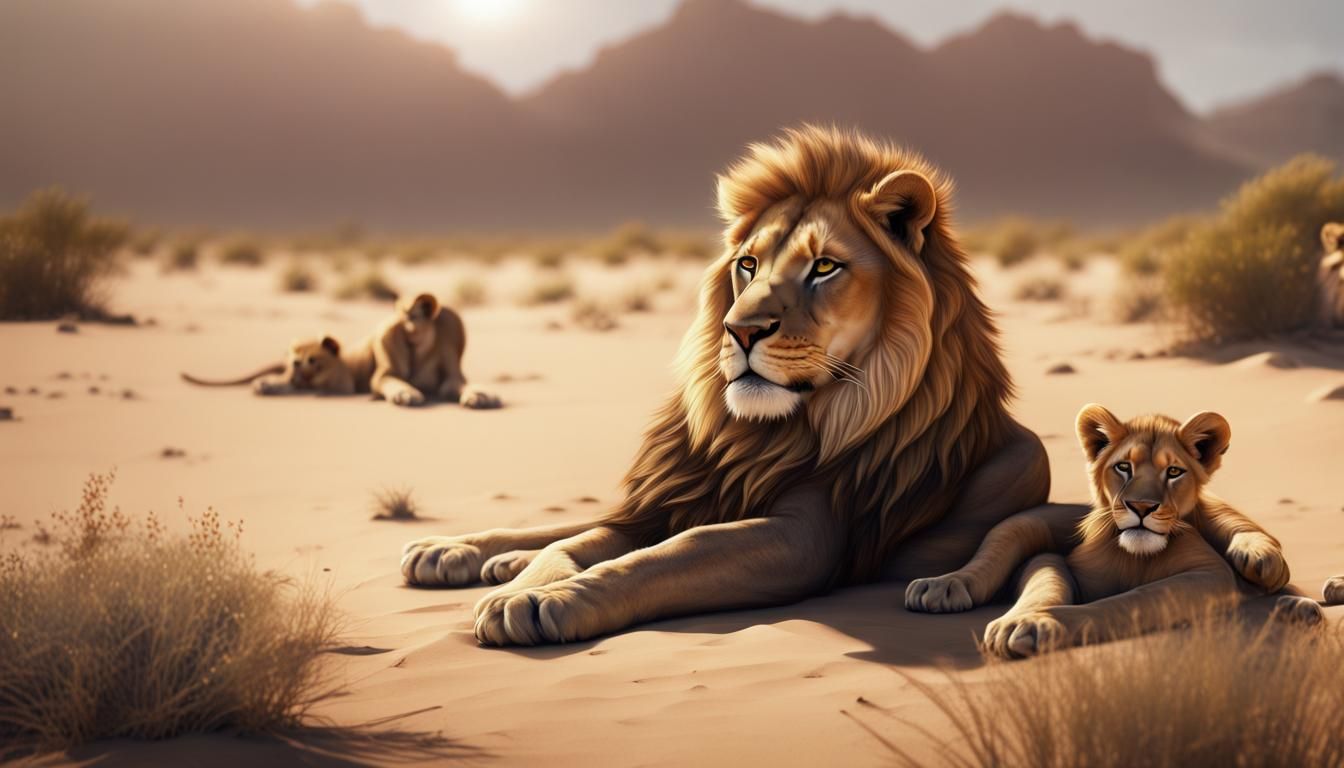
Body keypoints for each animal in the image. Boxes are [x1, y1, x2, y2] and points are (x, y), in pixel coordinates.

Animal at [181, 293, 500, 408]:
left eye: (408, 312)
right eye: (397, 311)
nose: (386, 327)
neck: (421, 345)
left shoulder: (452, 372)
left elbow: (462, 385)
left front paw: (482, 395)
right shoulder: (381, 371)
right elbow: (391, 380)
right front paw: (406, 394)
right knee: (291, 383)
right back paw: (267, 384)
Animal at [400, 125, 1054, 646]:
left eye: (824, 267)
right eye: (748, 264)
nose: (739, 330)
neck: (754, 434)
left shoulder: (805, 538)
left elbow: (663, 557)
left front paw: (540, 600)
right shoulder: (669, 500)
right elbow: (573, 541)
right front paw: (513, 581)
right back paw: (462, 554)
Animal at [906, 404, 1344, 658]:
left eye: (1173, 471)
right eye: (1124, 467)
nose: (1142, 508)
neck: (1132, 556)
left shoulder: (1210, 576)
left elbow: (1125, 603)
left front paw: (1035, 625)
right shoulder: (1053, 557)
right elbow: (1046, 581)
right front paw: (1020, 621)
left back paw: (1268, 566)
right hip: (1024, 522)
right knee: (993, 548)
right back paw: (939, 586)